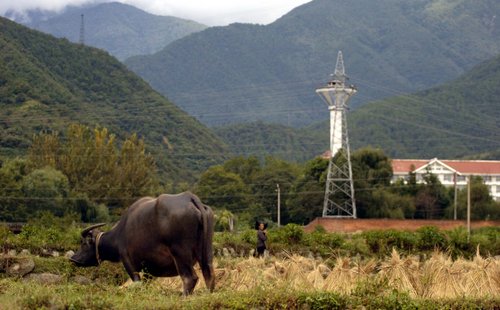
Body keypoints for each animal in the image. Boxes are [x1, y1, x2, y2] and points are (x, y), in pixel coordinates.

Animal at [70, 191, 215, 296]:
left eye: (84, 243)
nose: (73, 258)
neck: (120, 232)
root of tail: (189, 197)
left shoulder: (127, 260)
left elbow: (137, 282)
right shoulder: (149, 270)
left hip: (180, 253)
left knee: (190, 278)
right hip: (206, 251)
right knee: (209, 275)